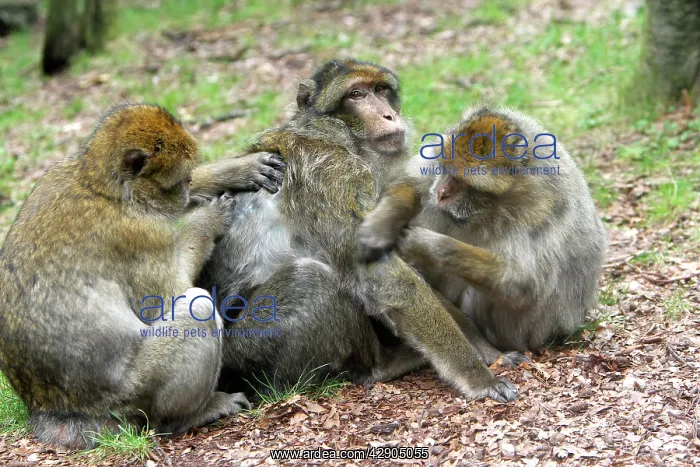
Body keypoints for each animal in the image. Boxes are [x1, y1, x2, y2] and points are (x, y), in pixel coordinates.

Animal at [0, 103, 285, 449]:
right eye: (177, 181)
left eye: (188, 177)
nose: (187, 188)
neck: (104, 188)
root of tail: (57, 410)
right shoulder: (140, 234)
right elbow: (169, 294)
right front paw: (206, 220)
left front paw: (236, 170)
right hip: (135, 392)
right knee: (197, 306)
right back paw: (190, 415)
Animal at [198, 59, 519, 403]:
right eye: (356, 95)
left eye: (379, 90)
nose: (388, 115)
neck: (337, 135)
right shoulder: (332, 172)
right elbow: (384, 275)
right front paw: (476, 375)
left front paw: (488, 351)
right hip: (250, 350)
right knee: (311, 277)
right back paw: (382, 366)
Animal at [357, 106, 608, 354]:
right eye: (445, 168)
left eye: (460, 181)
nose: (441, 192)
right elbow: (410, 182)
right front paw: (380, 227)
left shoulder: (542, 208)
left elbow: (523, 284)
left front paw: (422, 243)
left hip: (523, 333)